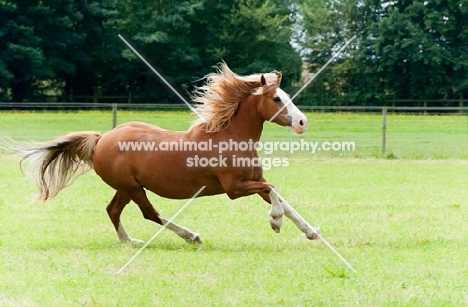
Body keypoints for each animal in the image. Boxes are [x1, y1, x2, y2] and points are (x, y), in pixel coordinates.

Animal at [11, 64, 320, 245]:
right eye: (277, 98)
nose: (302, 122)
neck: (229, 136)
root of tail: (101, 140)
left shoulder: (254, 181)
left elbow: (281, 198)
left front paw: (312, 232)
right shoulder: (234, 188)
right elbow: (275, 192)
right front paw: (275, 222)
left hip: (126, 188)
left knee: (113, 210)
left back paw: (129, 242)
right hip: (133, 187)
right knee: (150, 213)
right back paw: (191, 236)